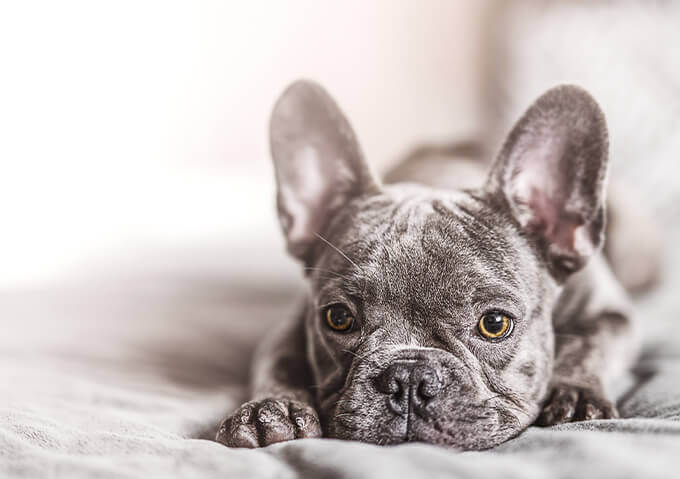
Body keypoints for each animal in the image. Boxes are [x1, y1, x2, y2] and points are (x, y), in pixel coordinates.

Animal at [216, 80, 644, 452]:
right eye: (338, 318)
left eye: (495, 324)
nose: (408, 377)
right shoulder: (295, 319)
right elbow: (279, 358)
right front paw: (271, 409)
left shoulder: (611, 312)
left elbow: (590, 344)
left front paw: (575, 393)